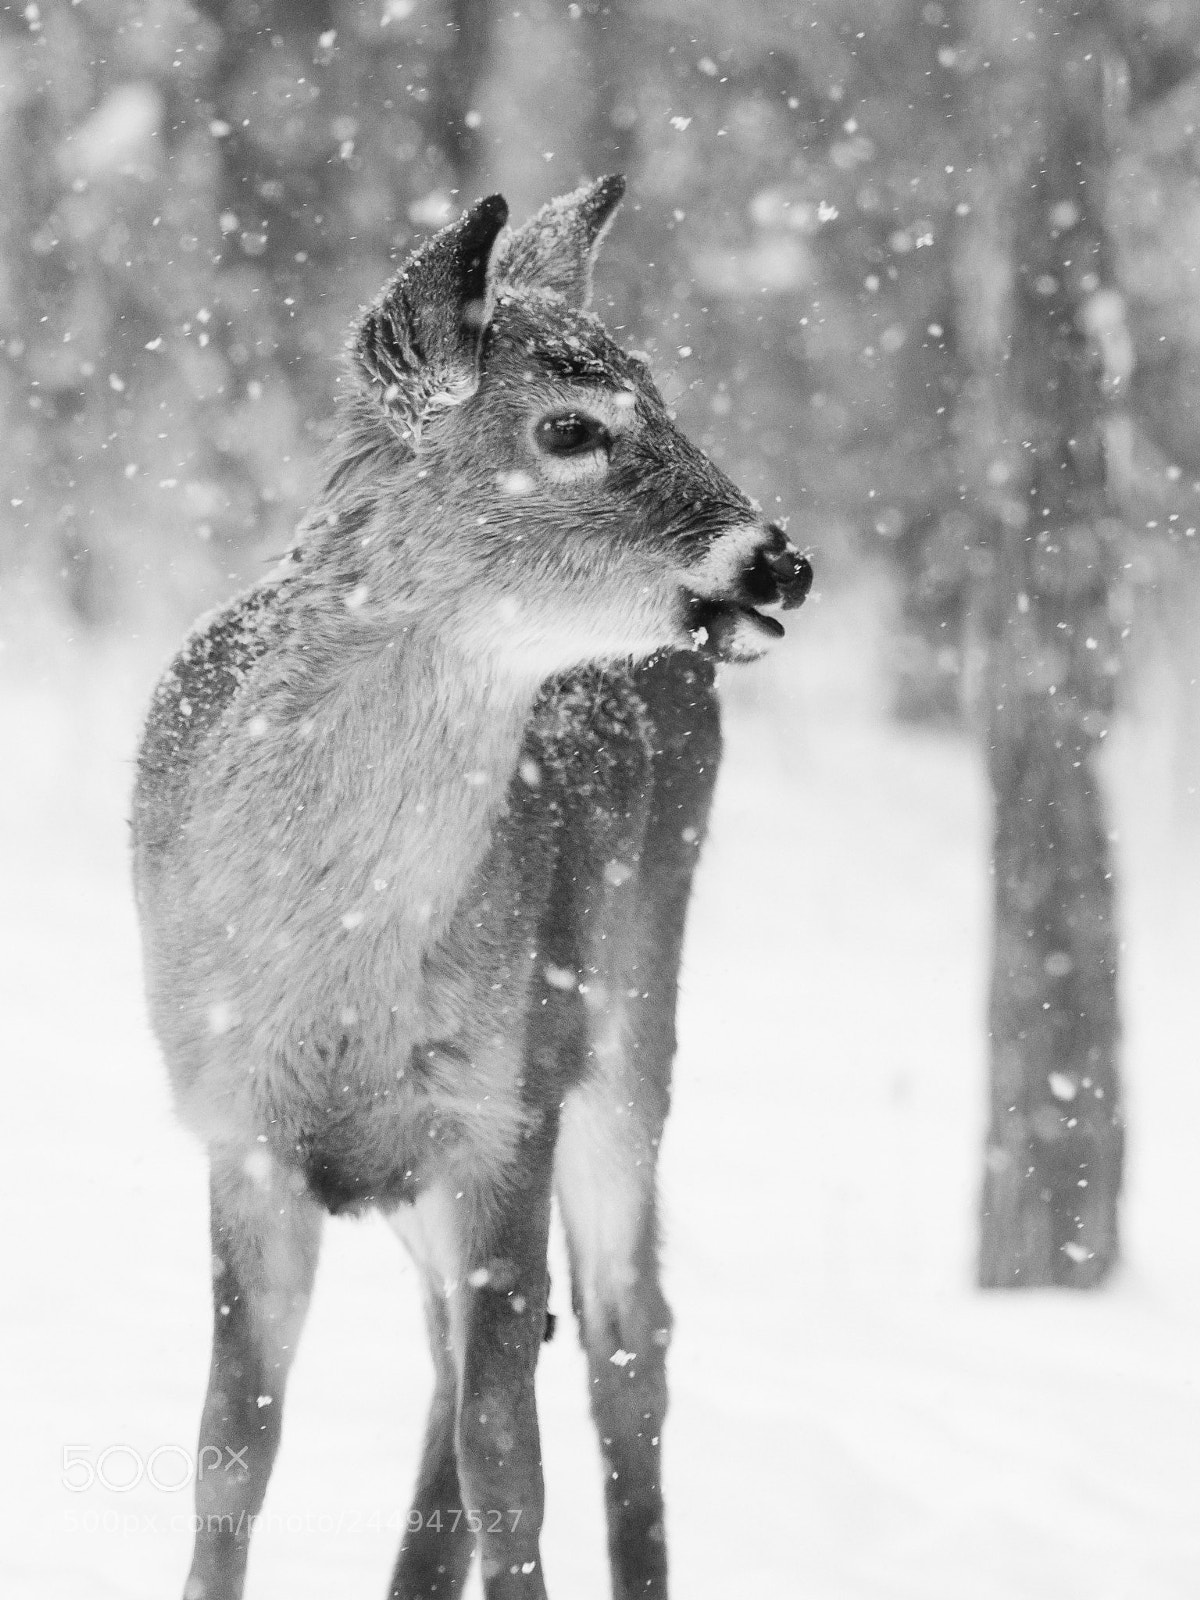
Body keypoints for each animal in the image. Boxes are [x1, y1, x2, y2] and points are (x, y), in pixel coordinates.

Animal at [132, 176, 812, 1600]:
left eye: (665, 394)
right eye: (572, 426)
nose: (779, 559)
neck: (334, 958)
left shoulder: (505, 1105)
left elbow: (512, 1461)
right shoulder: (240, 1125)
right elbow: (231, 1446)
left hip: (627, 1011)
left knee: (623, 1330)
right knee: (467, 1347)